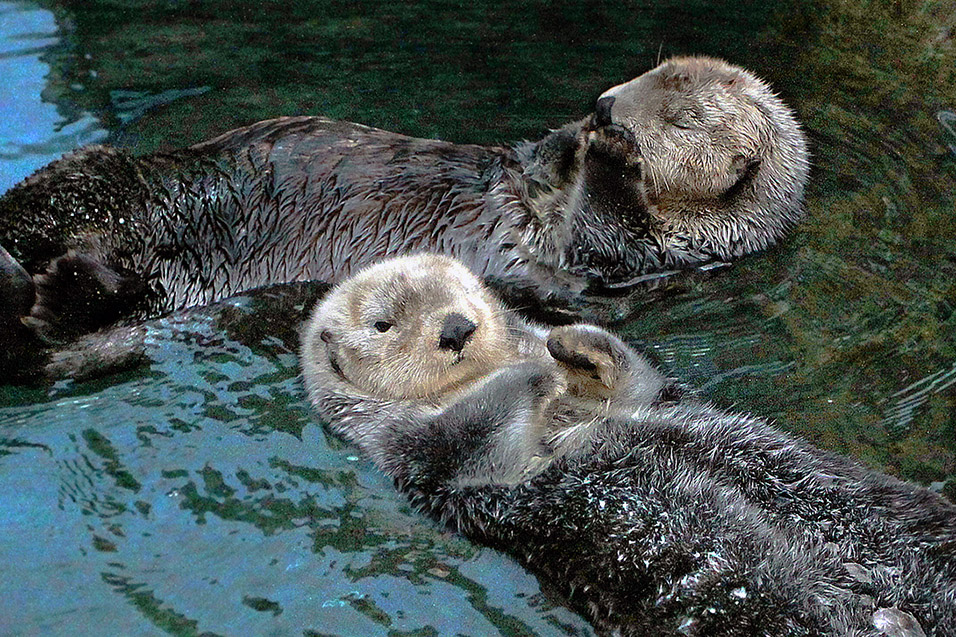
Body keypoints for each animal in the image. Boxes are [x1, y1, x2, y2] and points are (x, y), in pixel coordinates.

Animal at [0, 56, 808, 378]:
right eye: (650, 72)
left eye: (679, 117)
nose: (607, 106)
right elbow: (535, 161)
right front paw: (570, 138)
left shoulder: (637, 264)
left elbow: (599, 235)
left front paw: (609, 152)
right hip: (116, 180)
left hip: (125, 278)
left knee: (75, 309)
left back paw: (58, 287)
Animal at [304, 253, 956, 636]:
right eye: (384, 323)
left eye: (464, 291)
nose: (457, 327)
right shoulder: (416, 448)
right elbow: (469, 437)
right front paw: (531, 376)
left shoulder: (641, 396)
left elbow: (633, 381)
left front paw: (570, 345)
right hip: (738, 593)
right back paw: (889, 622)